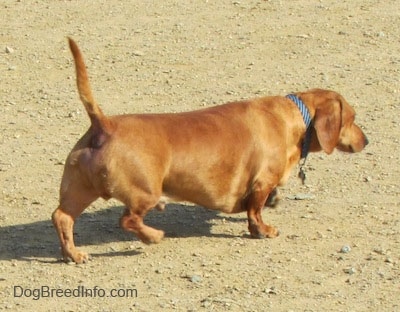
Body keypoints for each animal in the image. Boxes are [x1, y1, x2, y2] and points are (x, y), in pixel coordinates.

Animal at [52, 38, 368, 264]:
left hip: (80, 188)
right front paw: (263, 231)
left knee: (62, 217)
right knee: (127, 219)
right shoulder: (262, 181)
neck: (295, 117)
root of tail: (104, 124)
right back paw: (153, 235)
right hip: (146, 191)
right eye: (352, 118)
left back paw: (73, 254)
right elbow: (255, 212)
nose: (367, 141)